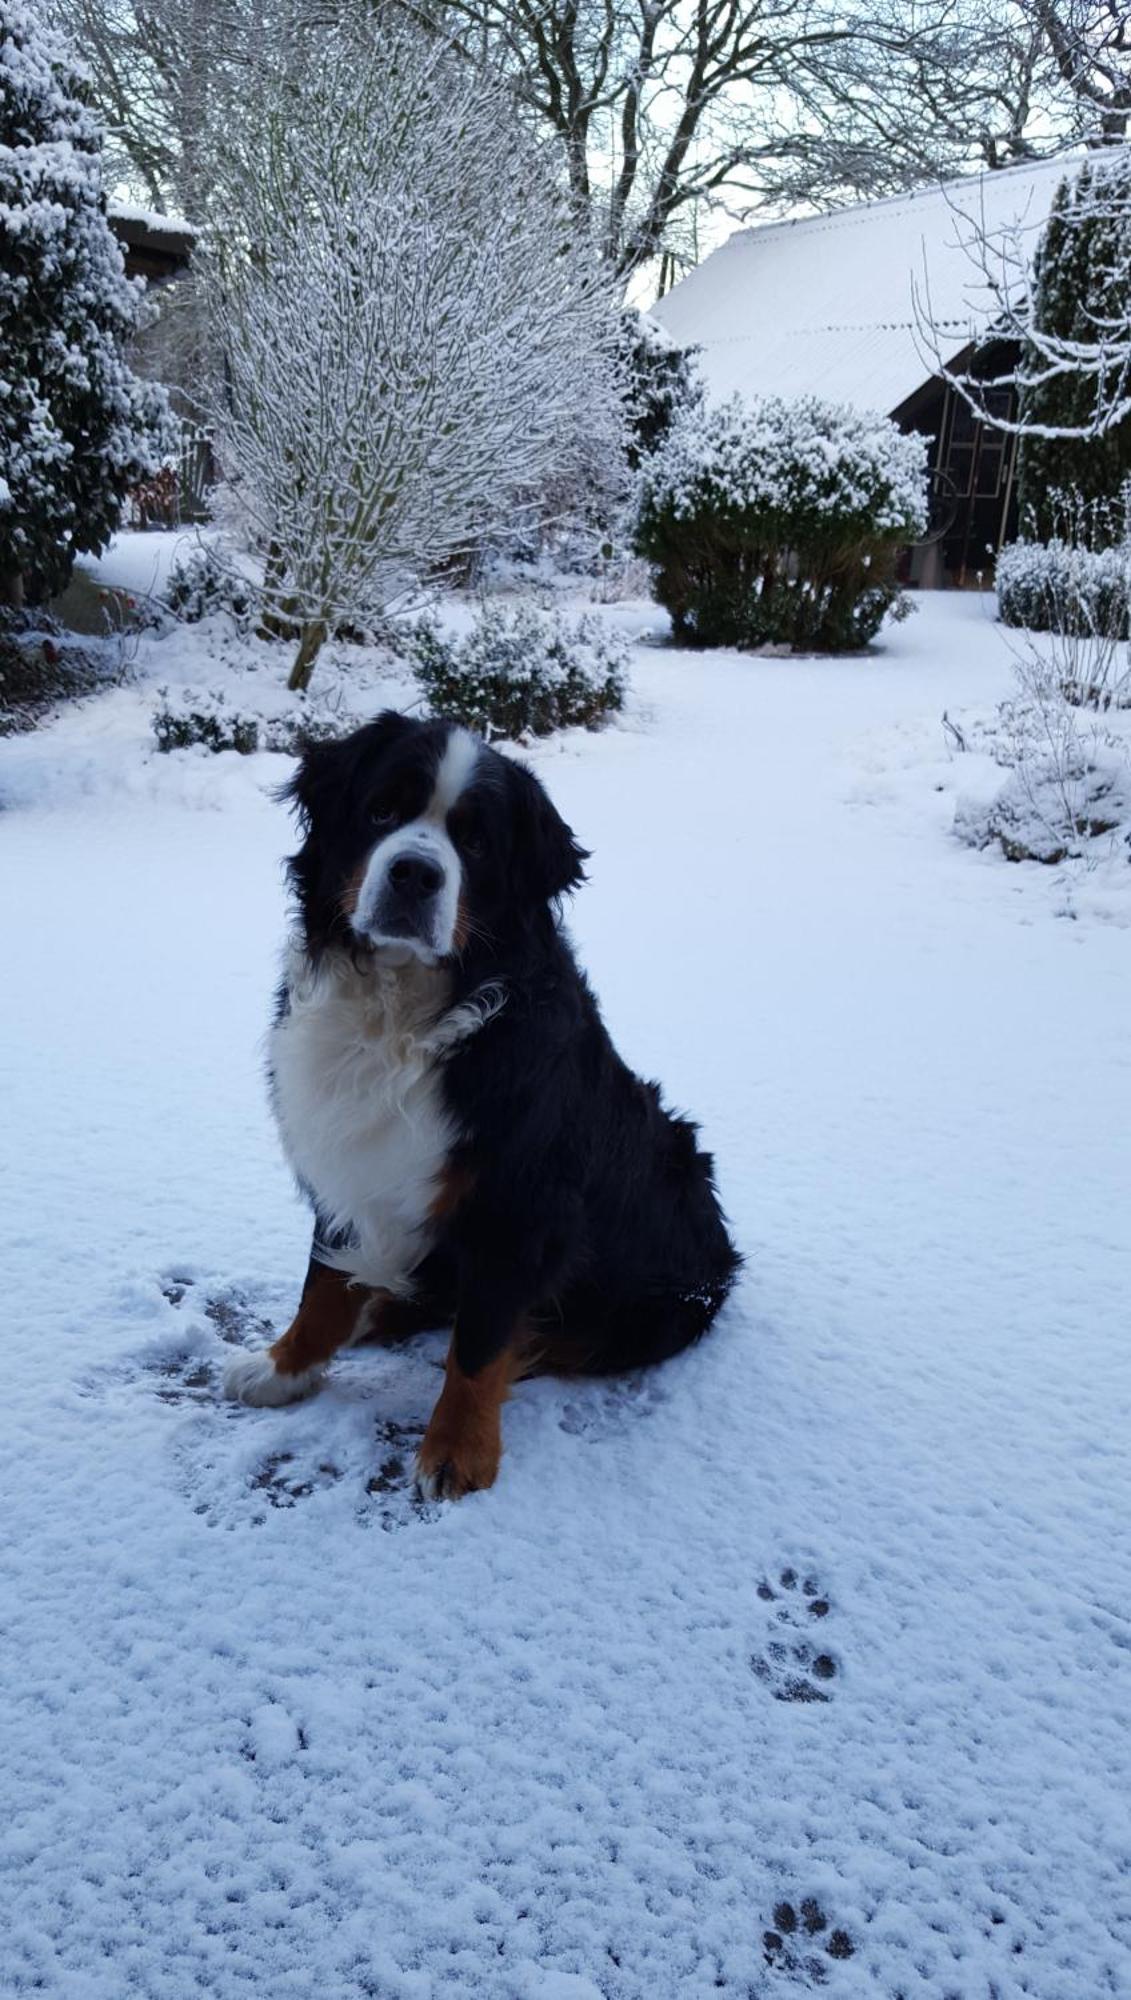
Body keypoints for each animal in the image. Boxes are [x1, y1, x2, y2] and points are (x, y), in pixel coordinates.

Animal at [226, 712, 743, 1496]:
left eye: (475, 842)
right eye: (382, 810)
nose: (414, 873)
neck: (397, 1015)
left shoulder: (520, 1206)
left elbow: (479, 1343)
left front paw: (457, 1453)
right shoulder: (343, 1157)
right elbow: (321, 1283)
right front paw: (285, 1368)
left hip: (656, 1302)